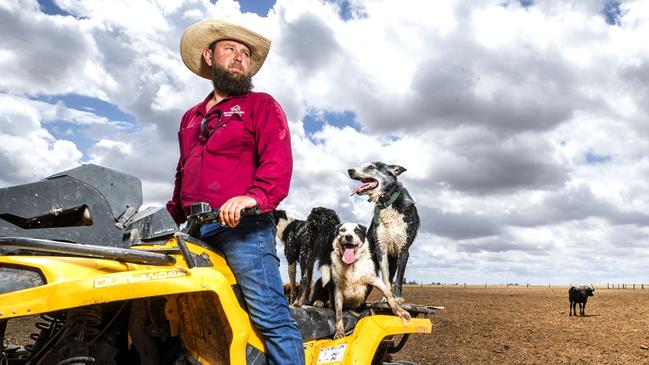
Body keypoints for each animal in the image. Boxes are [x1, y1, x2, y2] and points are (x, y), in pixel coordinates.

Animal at [346, 161, 418, 298]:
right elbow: (385, 278)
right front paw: (389, 297)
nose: (350, 170)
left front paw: (397, 299)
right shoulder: (381, 249)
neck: (387, 203)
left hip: (394, 260)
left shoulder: (404, 250)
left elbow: (398, 280)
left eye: (371, 167)